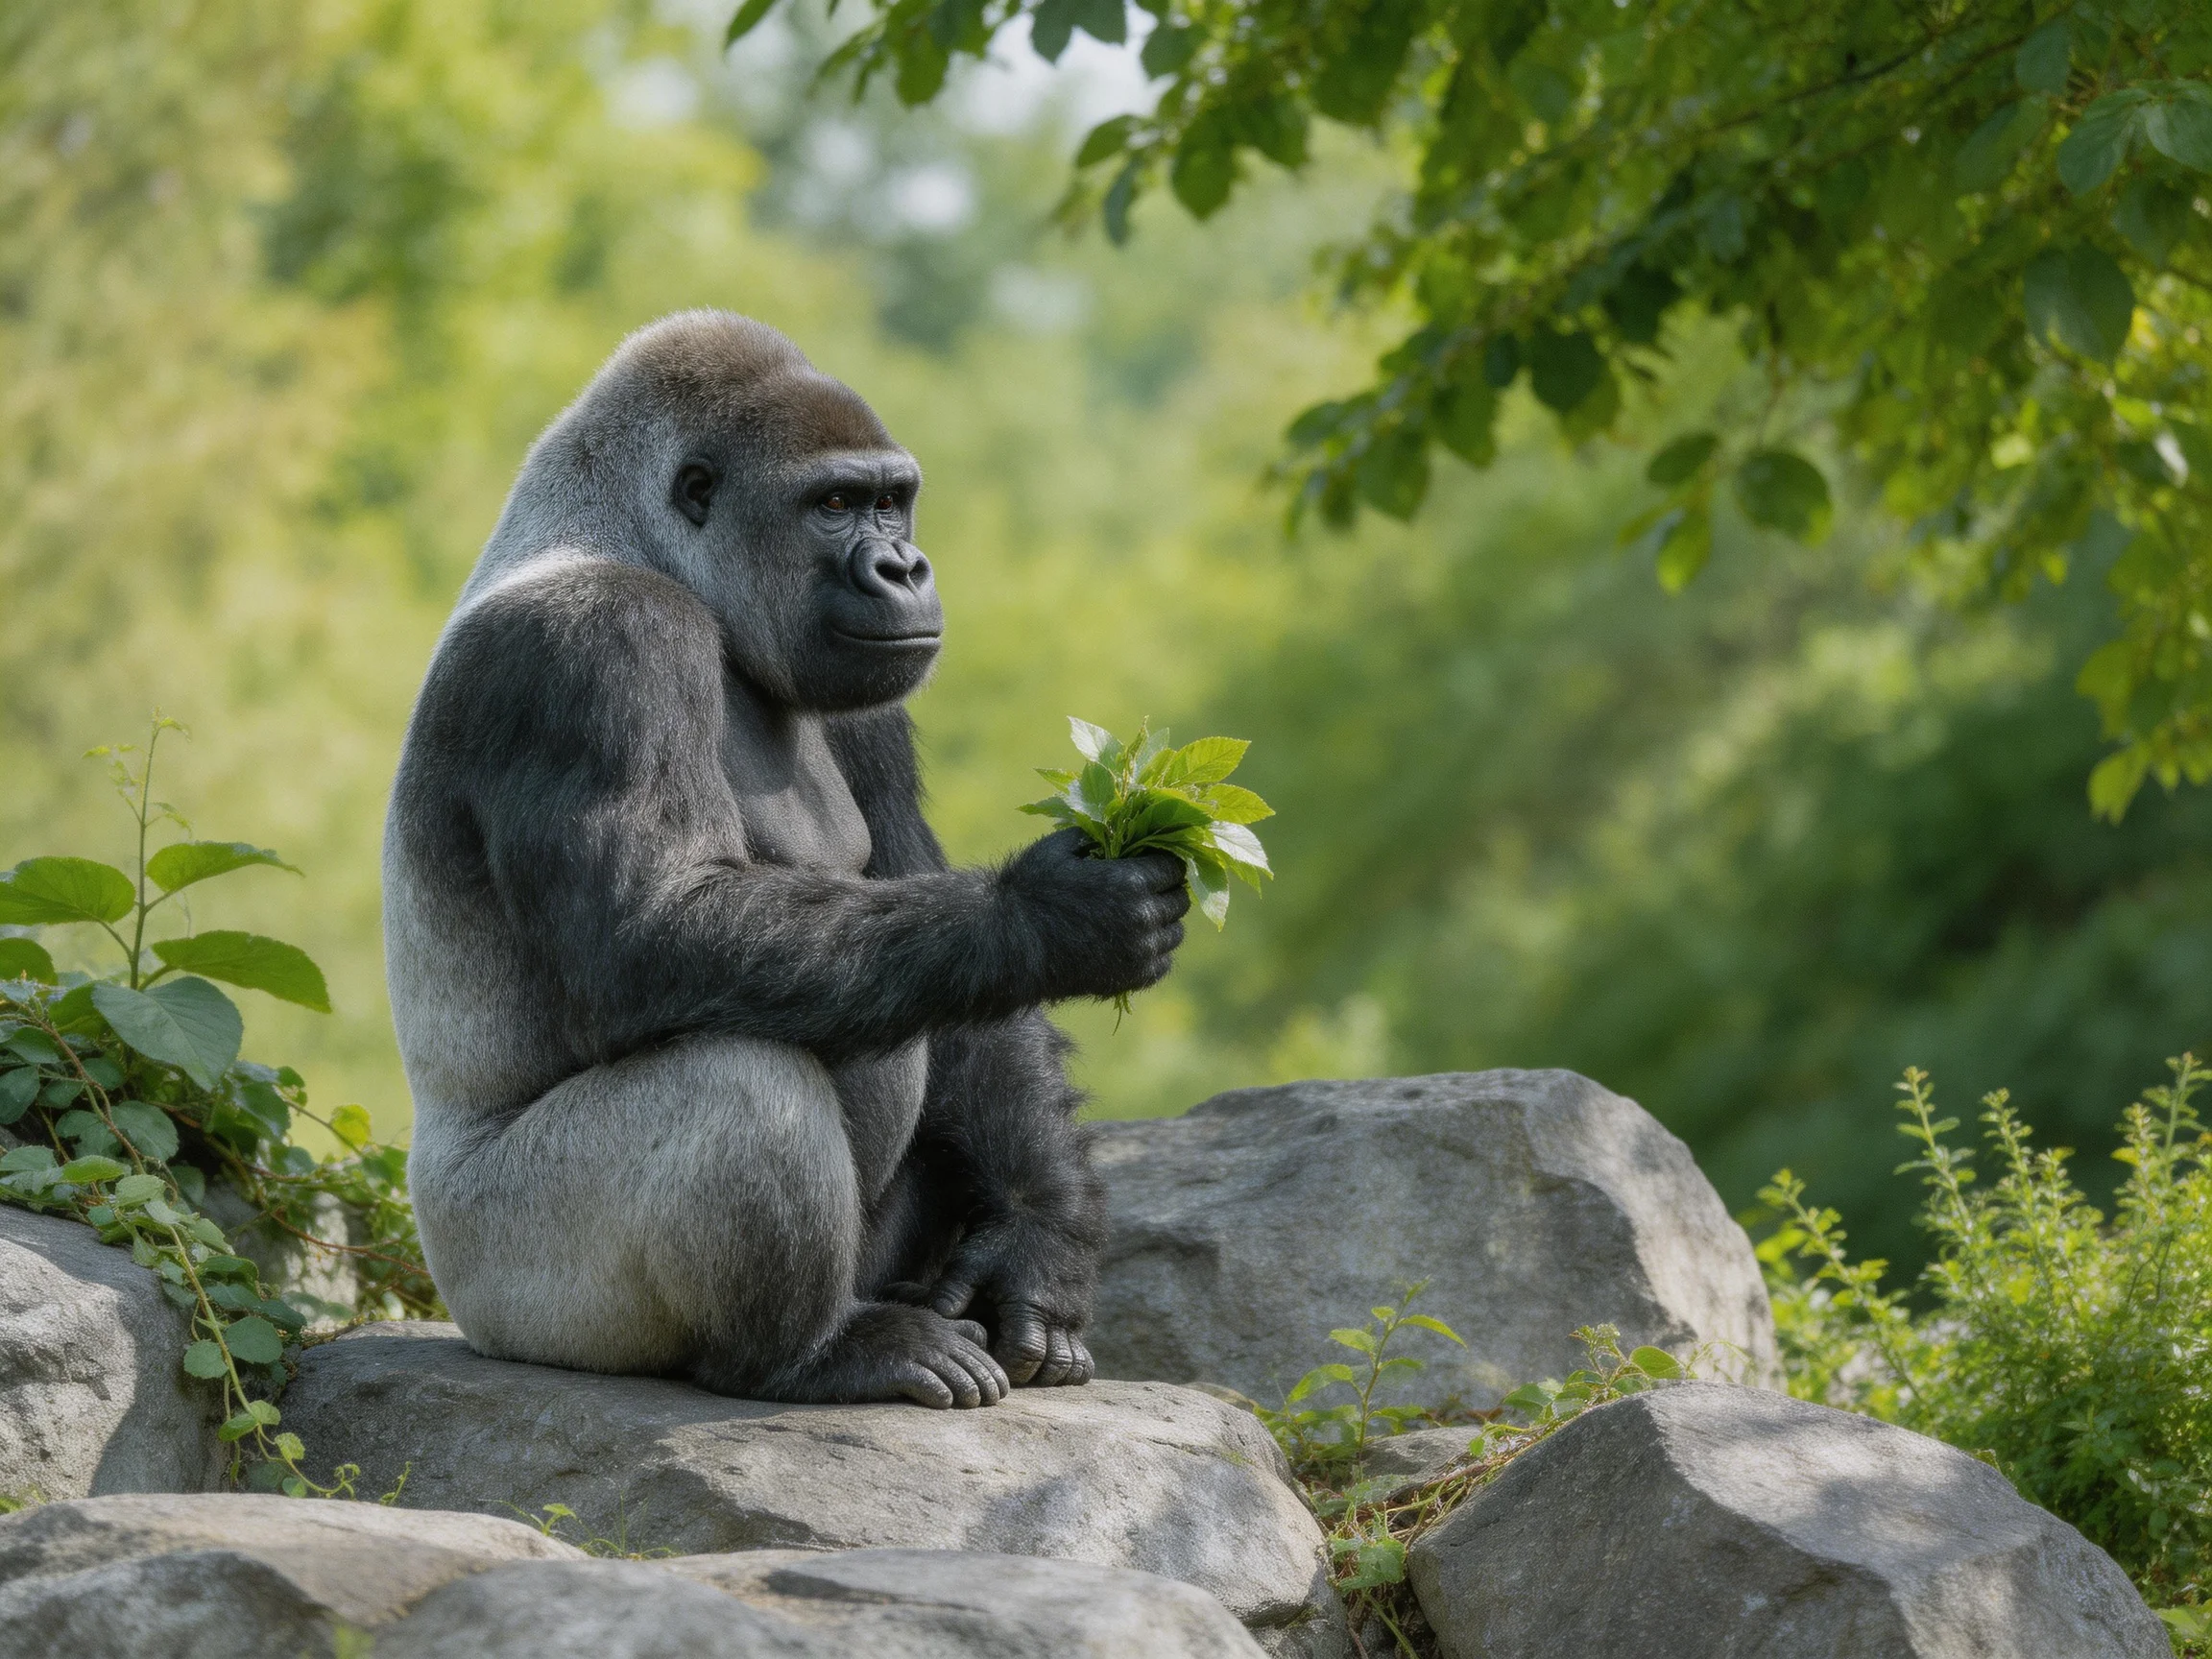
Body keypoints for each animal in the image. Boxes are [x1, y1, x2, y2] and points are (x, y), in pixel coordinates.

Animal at [382, 310, 1189, 1408]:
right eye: (834, 505)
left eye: (892, 501)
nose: (904, 569)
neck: (635, 538)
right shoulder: (593, 646)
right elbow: (646, 939)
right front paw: (1050, 918)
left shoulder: (868, 692)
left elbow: (954, 971)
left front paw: (1035, 1240)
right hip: (506, 1284)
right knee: (737, 1084)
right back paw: (811, 1355)